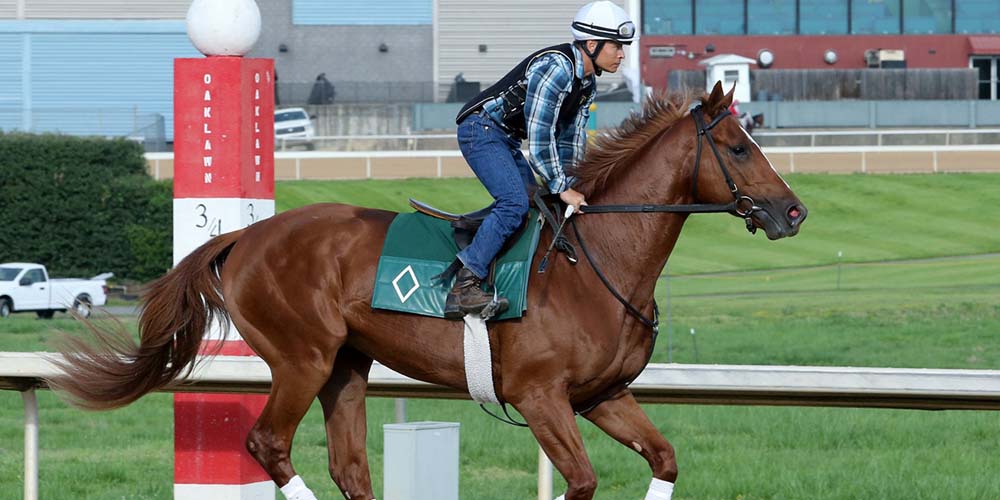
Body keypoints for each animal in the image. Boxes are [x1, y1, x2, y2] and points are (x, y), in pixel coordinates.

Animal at [50, 84, 808, 498]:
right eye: (738, 147)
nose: (794, 211)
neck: (596, 262)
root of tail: (244, 236)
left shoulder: (603, 395)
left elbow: (665, 460)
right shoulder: (539, 397)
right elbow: (583, 481)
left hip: (347, 367)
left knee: (352, 468)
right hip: (302, 358)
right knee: (269, 445)